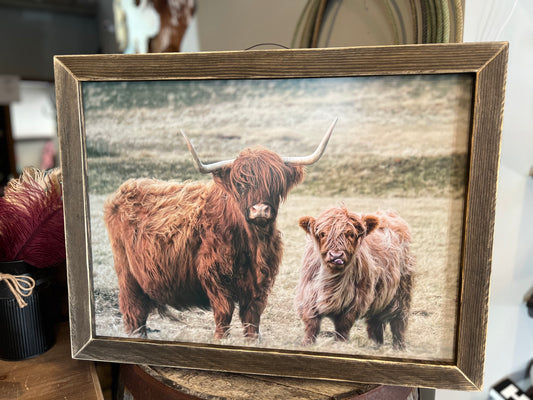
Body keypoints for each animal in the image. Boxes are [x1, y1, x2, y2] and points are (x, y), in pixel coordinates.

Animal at [103, 119, 334, 340]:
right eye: (241, 185)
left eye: (275, 183)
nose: (260, 209)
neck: (253, 244)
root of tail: (126, 188)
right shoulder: (215, 277)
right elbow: (223, 315)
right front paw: (221, 339)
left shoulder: (259, 285)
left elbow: (252, 320)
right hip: (127, 275)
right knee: (133, 313)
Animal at [296, 208, 416, 348]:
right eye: (322, 234)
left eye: (351, 234)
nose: (336, 256)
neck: (332, 280)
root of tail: (388, 213)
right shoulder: (308, 294)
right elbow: (311, 324)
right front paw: (306, 343)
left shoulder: (356, 300)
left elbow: (343, 326)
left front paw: (340, 344)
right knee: (375, 321)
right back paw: (376, 345)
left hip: (402, 291)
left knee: (399, 320)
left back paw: (399, 346)